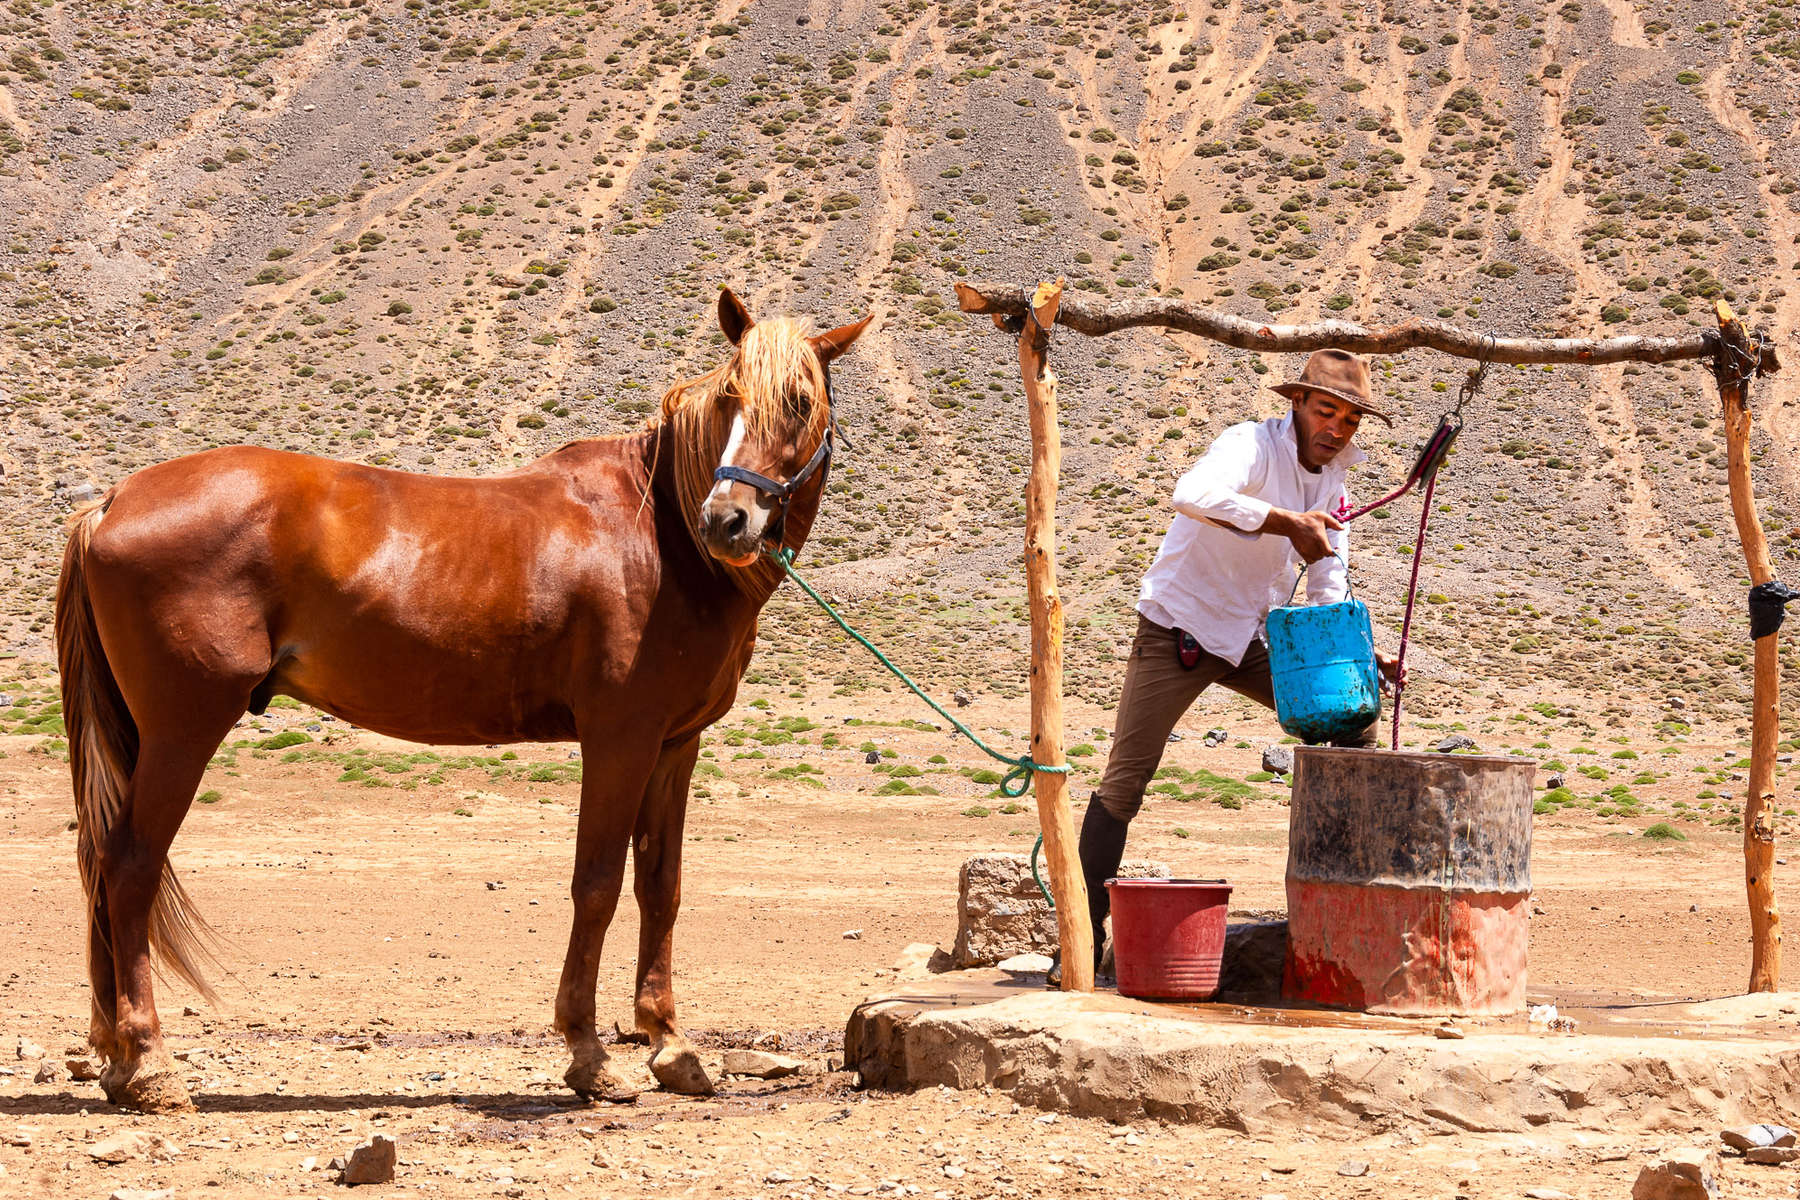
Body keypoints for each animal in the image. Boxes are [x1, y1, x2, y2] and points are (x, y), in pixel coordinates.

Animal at [54, 286, 871, 1115]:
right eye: (732, 395)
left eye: (800, 402)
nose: (727, 519)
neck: (660, 536)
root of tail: (111, 503)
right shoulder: (621, 739)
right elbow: (597, 884)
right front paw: (590, 1058)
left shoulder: (675, 744)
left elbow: (659, 887)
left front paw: (672, 1047)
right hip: (181, 731)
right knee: (129, 868)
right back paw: (151, 1066)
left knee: (103, 866)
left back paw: (116, 1060)